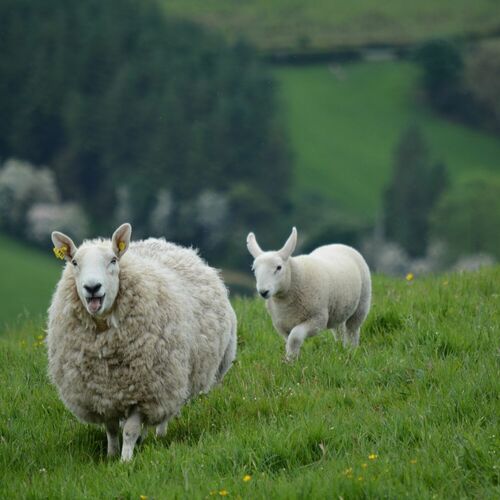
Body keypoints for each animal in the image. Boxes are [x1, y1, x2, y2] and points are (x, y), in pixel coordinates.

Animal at [47, 225, 236, 462]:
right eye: (74, 262)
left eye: (113, 260)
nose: (92, 287)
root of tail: (165, 243)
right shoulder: (101, 393)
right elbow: (111, 429)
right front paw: (111, 455)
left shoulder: (145, 389)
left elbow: (130, 429)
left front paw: (125, 460)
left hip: (171, 378)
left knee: (166, 411)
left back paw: (158, 435)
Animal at [247, 229, 372, 362]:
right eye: (254, 269)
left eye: (279, 267)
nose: (263, 291)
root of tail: (338, 244)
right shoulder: (282, 326)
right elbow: (289, 341)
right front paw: (291, 359)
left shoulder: (317, 319)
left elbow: (295, 337)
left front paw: (291, 360)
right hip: (338, 309)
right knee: (339, 329)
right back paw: (340, 348)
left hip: (362, 303)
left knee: (352, 330)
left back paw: (351, 350)